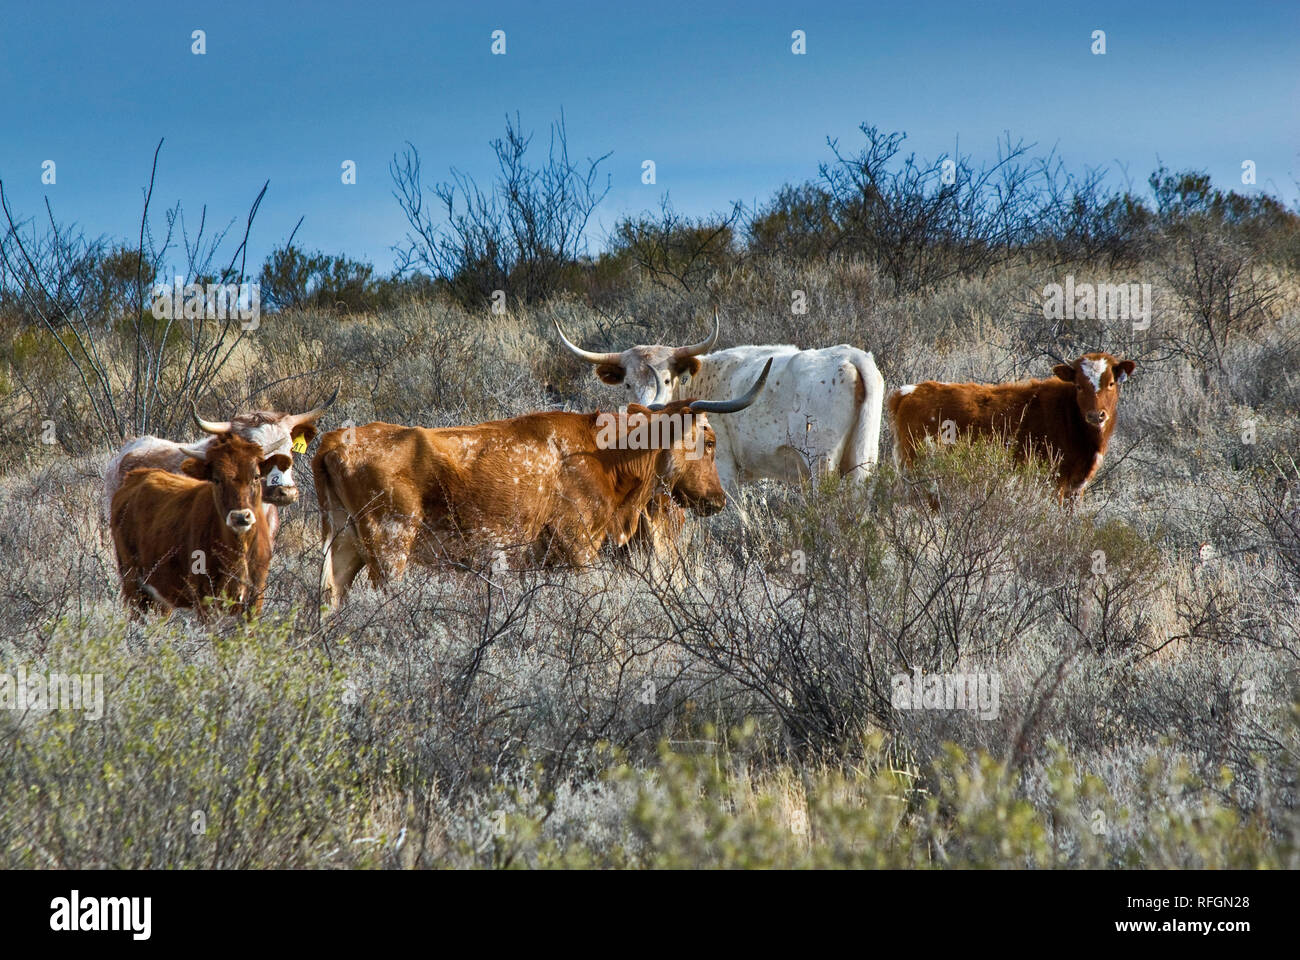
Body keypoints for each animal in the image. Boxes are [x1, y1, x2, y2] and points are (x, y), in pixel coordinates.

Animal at [110, 433, 285, 619]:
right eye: (216, 479)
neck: (239, 549)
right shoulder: (205, 599)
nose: (240, 517)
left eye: (256, 476)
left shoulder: (255, 598)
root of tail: (137, 475)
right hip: (132, 582)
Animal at [312, 361, 771, 608]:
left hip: (345, 546)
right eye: (709, 441)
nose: (717, 500)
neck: (604, 453)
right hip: (390, 550)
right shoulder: (580, 547)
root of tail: (335, 439)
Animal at [554, 311, 885, 488]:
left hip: (822, 463)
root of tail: (852, 356)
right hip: (863, 461)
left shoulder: (723, 467)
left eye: (666, 379)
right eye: (627, 384)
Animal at [887, 352, 1136, 501]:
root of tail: (911, 391)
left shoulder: (1075, 489)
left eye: (1111, 383)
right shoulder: (1055, 482)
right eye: (1078, 386)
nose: (1096, 415)